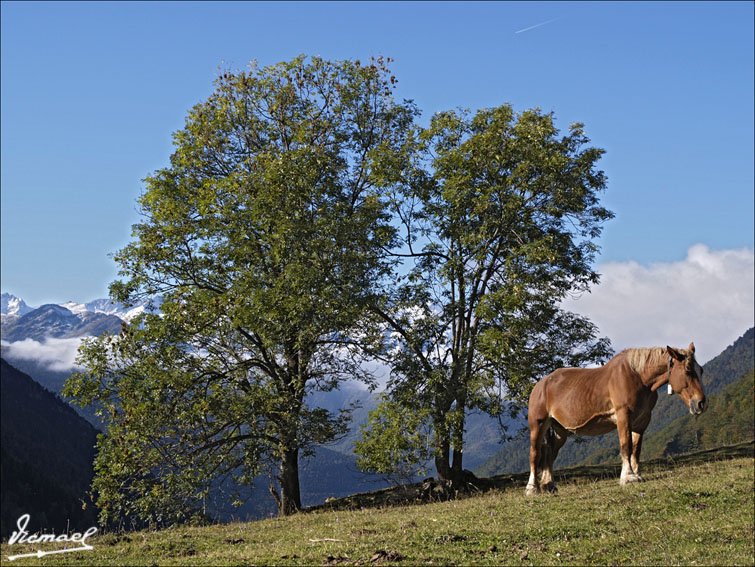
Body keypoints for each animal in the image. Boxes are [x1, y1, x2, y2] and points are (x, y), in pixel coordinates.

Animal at [524, 342, 708, 496]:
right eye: (687, 371)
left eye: (700, 370)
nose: (701, 404)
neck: (638, 377)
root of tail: (540, 385)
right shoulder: (623, 417)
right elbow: (626, 446)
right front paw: (628, 477)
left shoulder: (641, 421)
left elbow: (636, 449)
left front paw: (637, 474)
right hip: (538, 424)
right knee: (535, 454)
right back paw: (532, 488)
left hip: (560, 430)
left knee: (550, 453)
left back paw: (548, 485)